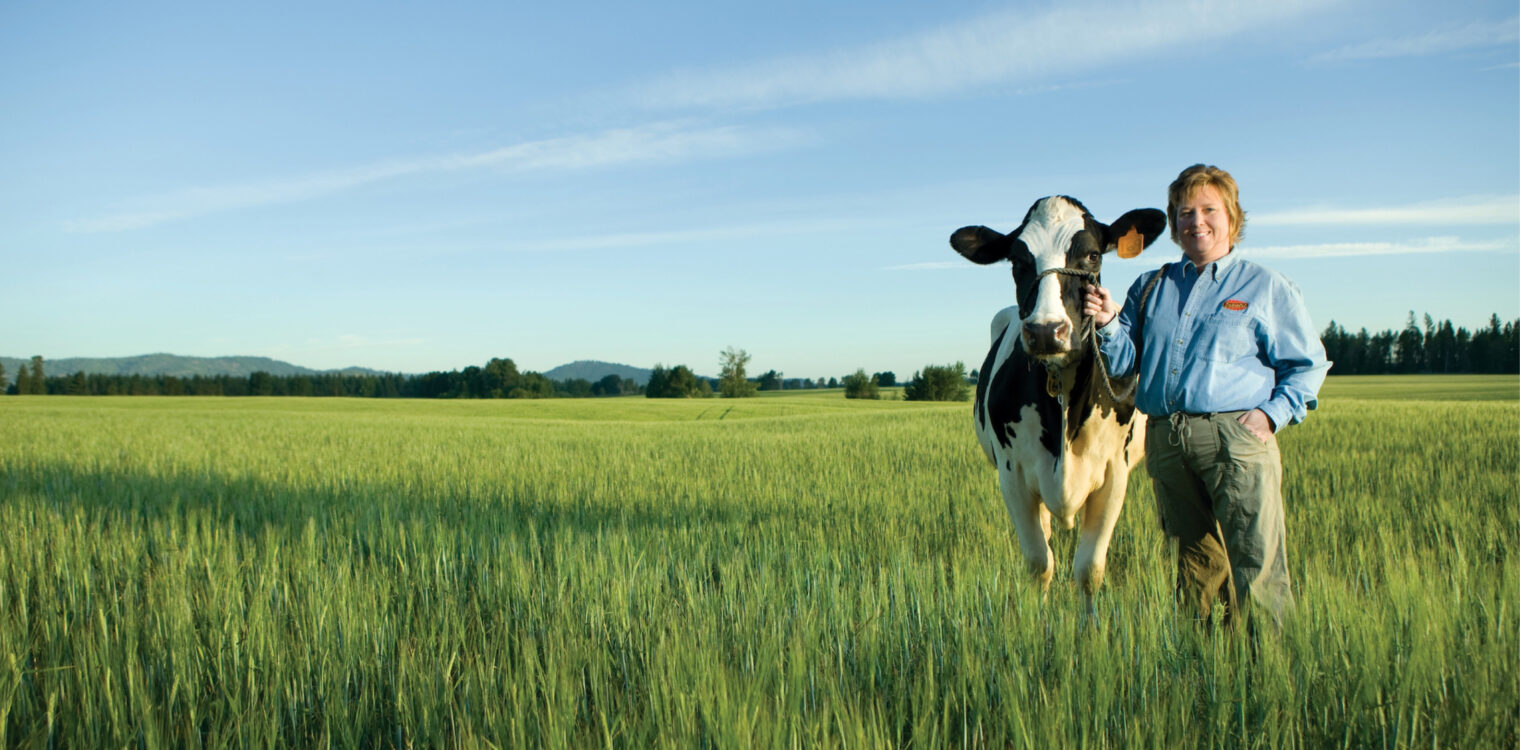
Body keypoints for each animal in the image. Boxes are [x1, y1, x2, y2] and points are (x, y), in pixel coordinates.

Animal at [951, 196, 1166, 600]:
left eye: (1093, 255)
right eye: (1017, 262)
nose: (1046, 331)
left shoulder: (1115, 475)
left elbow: (1089, 570)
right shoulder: (1013, 476)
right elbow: (1040, 563)